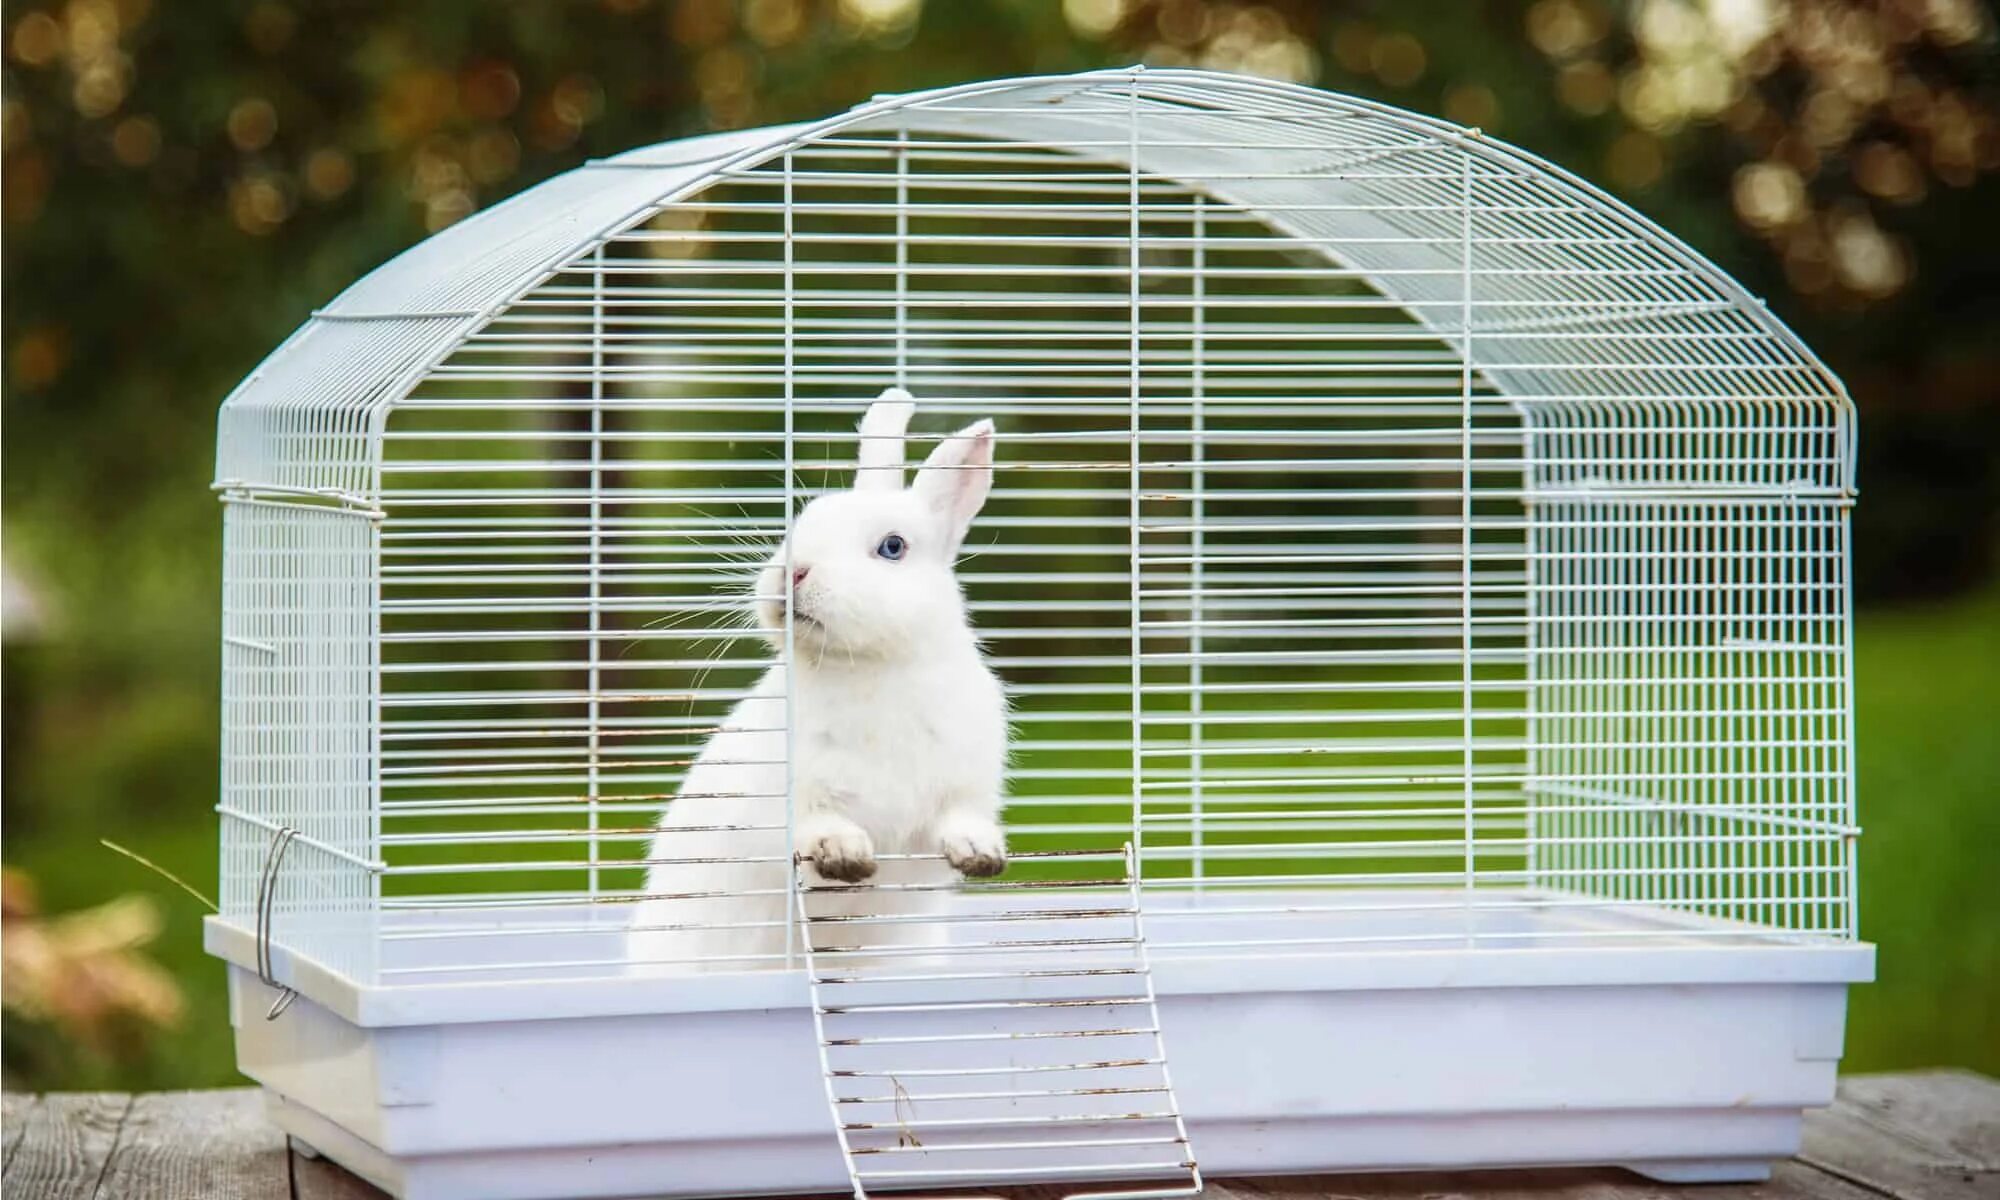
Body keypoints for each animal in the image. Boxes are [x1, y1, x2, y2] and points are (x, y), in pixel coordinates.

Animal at [624, 390, 1008, 972]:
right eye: (800, 522)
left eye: (892, 547)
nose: (793, 572)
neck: (868, 664)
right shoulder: (793, 793)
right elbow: (816, 827)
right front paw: (845, 857)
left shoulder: (964, 784)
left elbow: (960, 821)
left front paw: (982, 856)